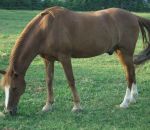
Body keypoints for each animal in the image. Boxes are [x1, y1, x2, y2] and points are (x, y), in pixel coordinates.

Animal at [0, 6, 150, 115]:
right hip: (120, 53)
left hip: (126, 52)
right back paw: (133, 98)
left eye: (14, 87)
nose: (8, 111)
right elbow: (49, 81)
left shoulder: (65, 57)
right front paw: (48, 106)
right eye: (3, 88)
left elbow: (70, 80)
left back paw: (125, 103)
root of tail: (133, 16)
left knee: (129, 76)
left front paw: (77, 106)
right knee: (131, 73)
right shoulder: (48, 60)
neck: (46, 29)